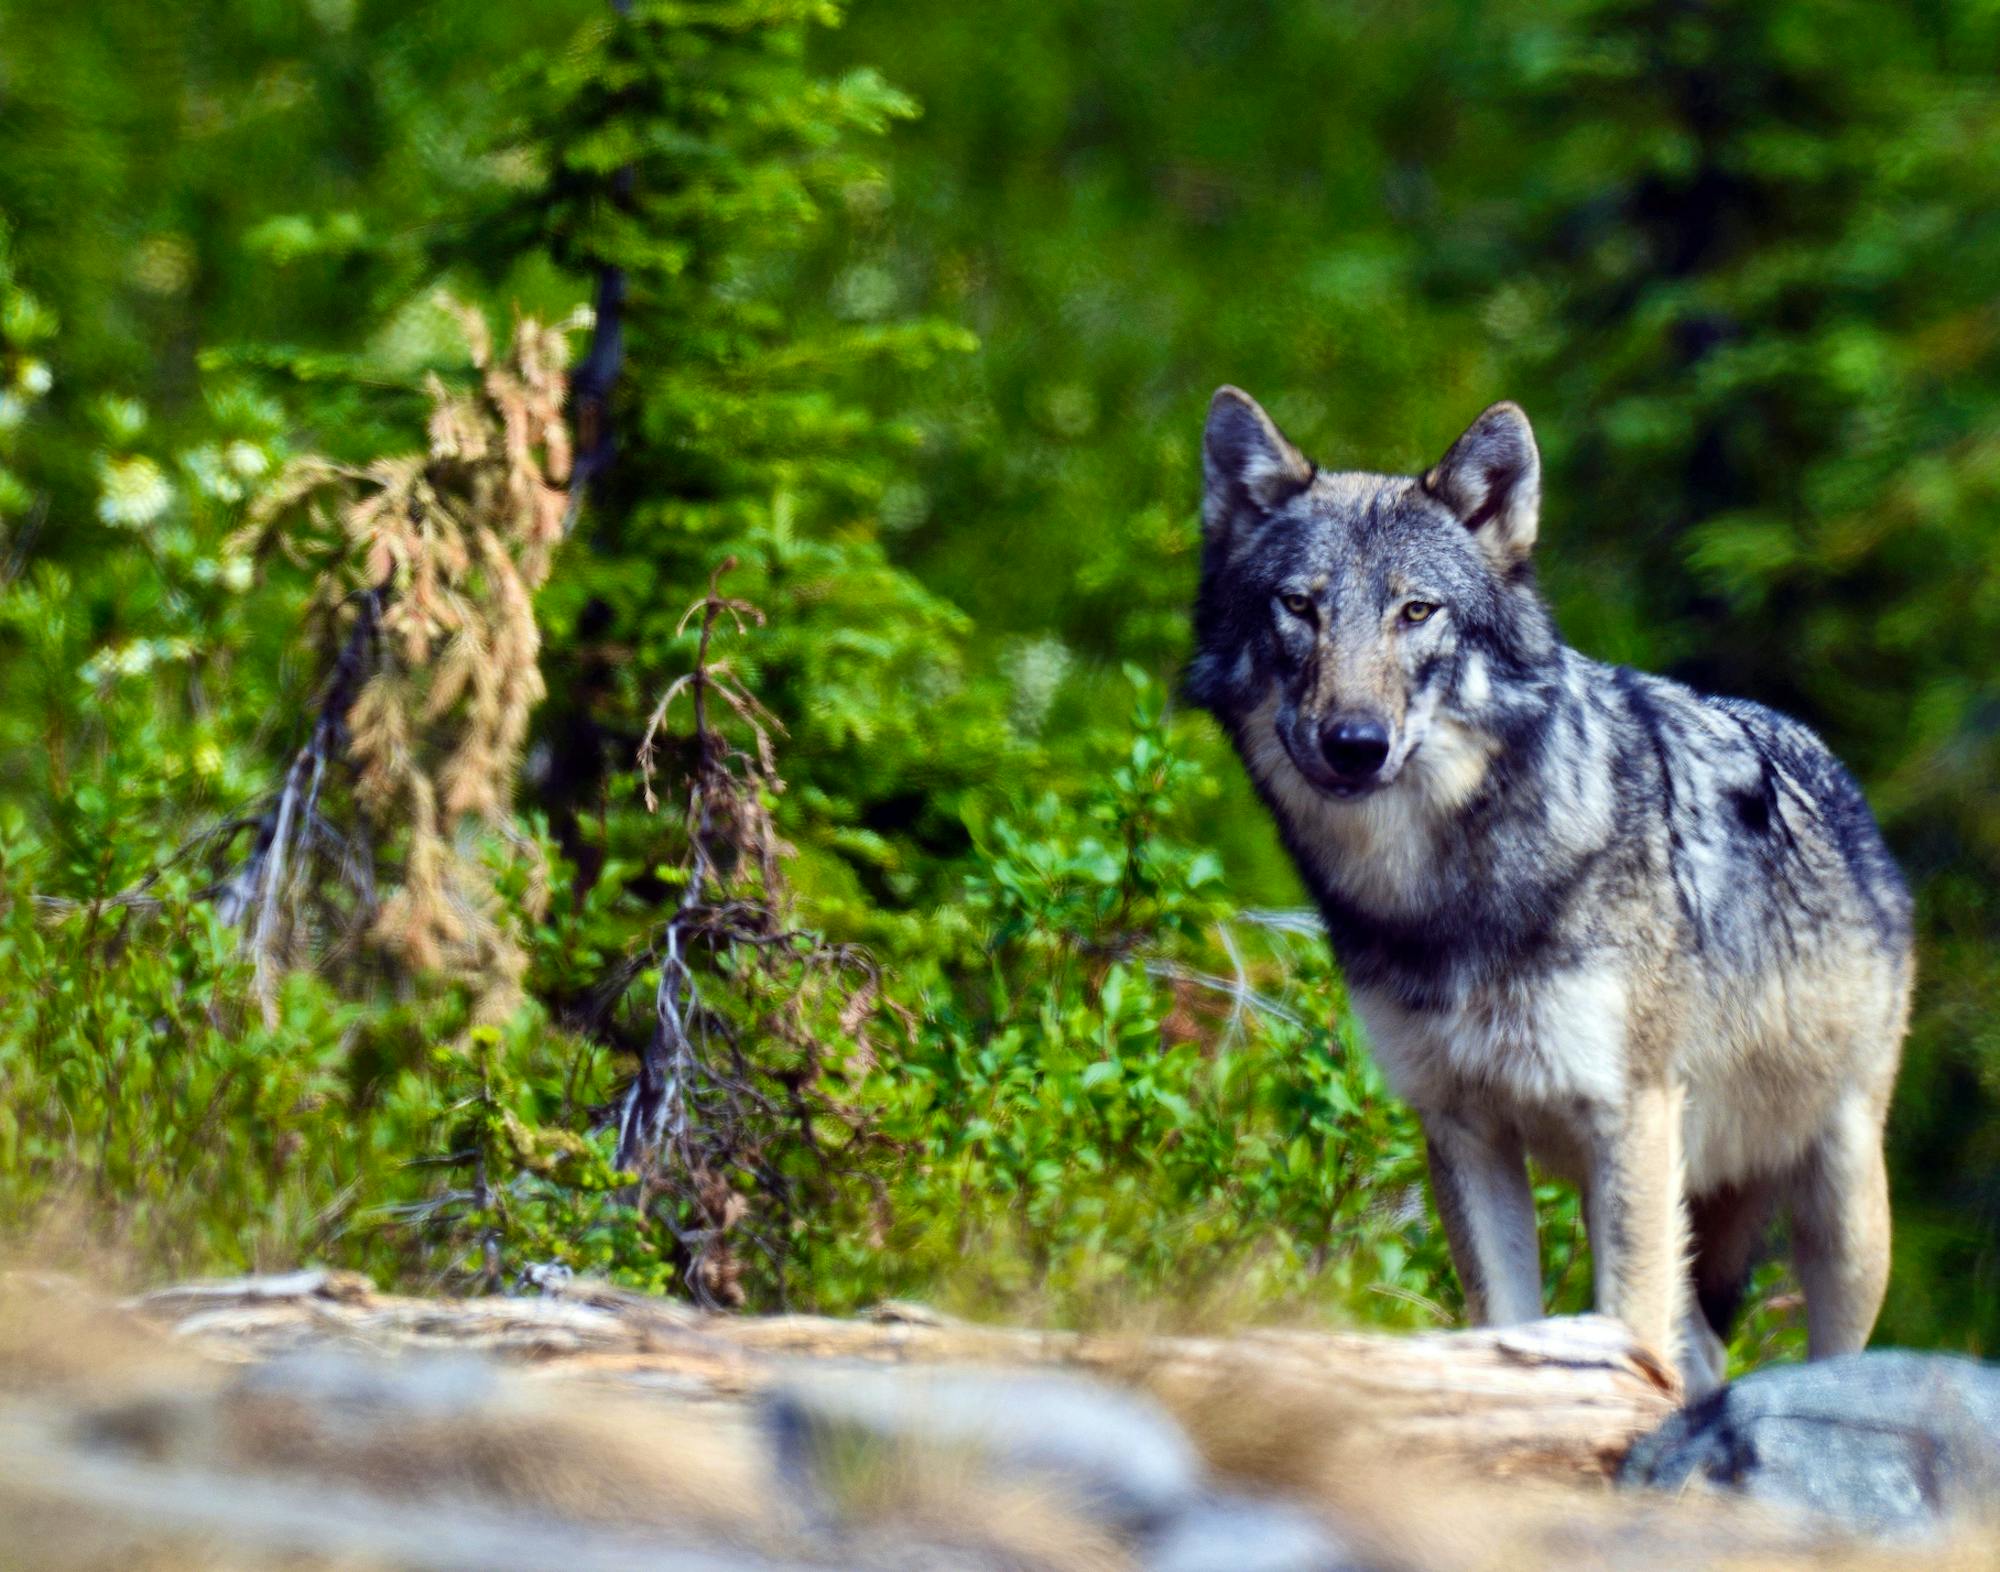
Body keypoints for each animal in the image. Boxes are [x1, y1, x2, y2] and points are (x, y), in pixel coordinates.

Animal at [1192, 386, 1912, 1392]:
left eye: (1417, 611)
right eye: (1298, 606)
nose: (1355, 743)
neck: (1446, 898)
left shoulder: (1630, 1118)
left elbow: (1625, 1328)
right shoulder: (1463, 1127)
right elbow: (1505, 1328)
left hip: (1838, 1200)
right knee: (1700, 1349)